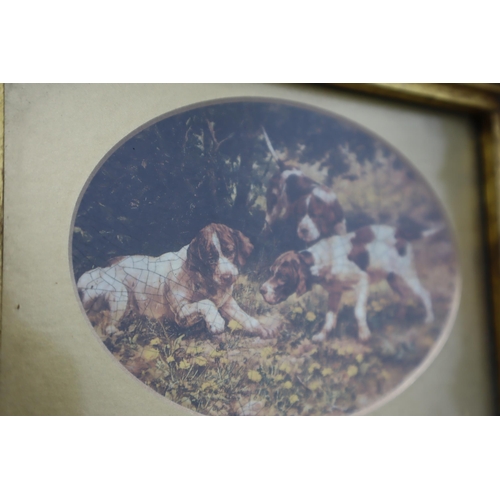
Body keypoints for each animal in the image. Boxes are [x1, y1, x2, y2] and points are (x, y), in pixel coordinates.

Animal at [77, 224, 278, 338]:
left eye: (230, 251)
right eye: (210, 259)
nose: (228, 277)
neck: (204, 280)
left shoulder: (226, 302)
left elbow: (245, 317)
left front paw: (262, 329)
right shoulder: (181, 313)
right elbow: (206, 303)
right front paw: (216, 322)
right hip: (120, 294)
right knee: (107, 327)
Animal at [260, 225, 436, 342]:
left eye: (283, 276)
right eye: (272, 271)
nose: (261, 290)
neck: (323, 260)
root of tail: (399, 231)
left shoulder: (362, 282)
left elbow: (358, 312)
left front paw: (364, 335)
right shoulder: (334, 293)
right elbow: (330, 318)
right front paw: (321, 337)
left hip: (407, 273)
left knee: (425, 294)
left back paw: (428, 320)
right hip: (393, 278)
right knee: (404, 296)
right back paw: (399, 318)